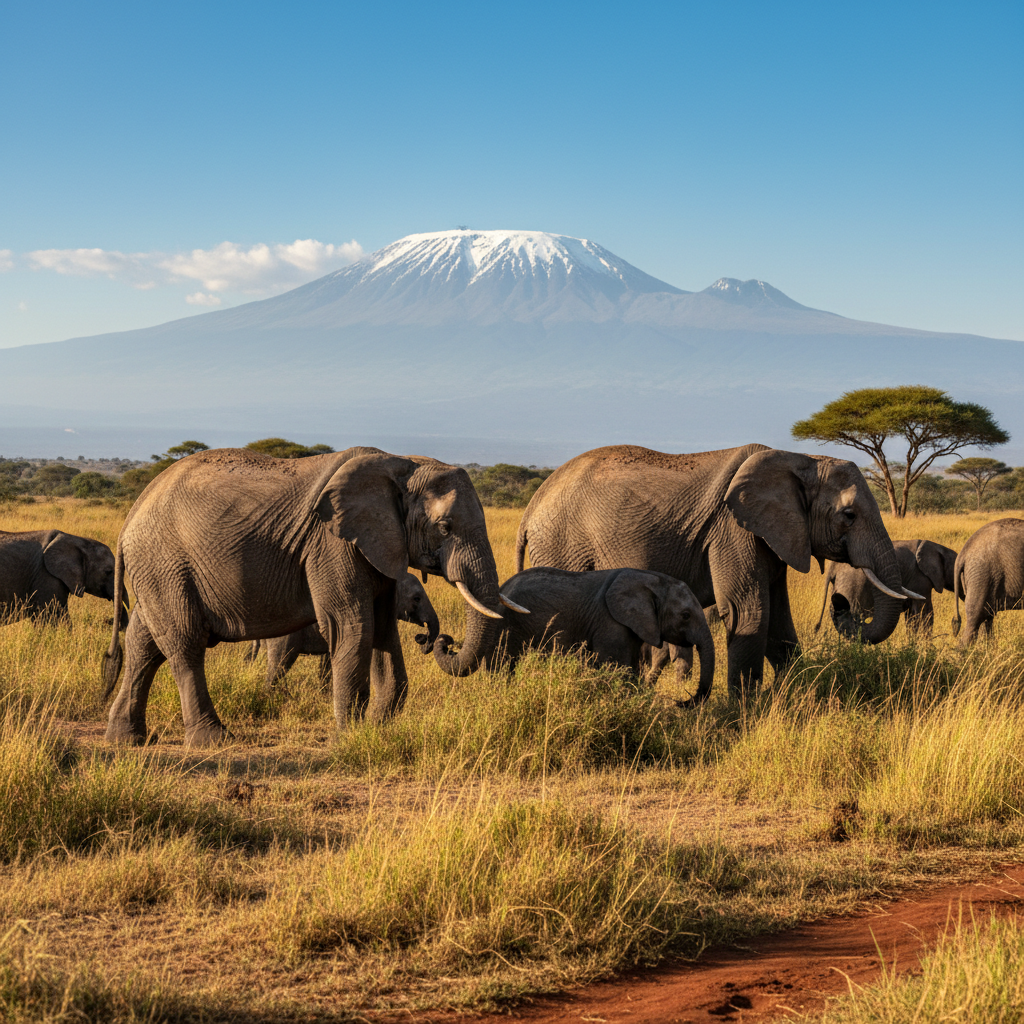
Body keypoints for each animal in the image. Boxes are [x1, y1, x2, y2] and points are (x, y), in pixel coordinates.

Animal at [433, 566, 715, 705]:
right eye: (686, 615)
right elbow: (618, 669)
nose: (680, 701)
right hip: (506, 628)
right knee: (502, 668)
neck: (652, 580)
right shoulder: (610, 622)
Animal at [515, 444, 912, 697]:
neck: (802, 460)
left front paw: (796, 695)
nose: (840, 603)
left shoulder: (773, 534)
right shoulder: (733, 530)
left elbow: (779, 623)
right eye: (849, 515)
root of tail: (532, 506)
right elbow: (749, 613)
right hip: (563, 545)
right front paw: (746, 710)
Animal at [814, 539, 957, 637]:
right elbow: (924, 612)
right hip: (852, 585)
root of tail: (833, 567)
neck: (939, 547)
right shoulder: (920, 578)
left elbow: (911, 616)